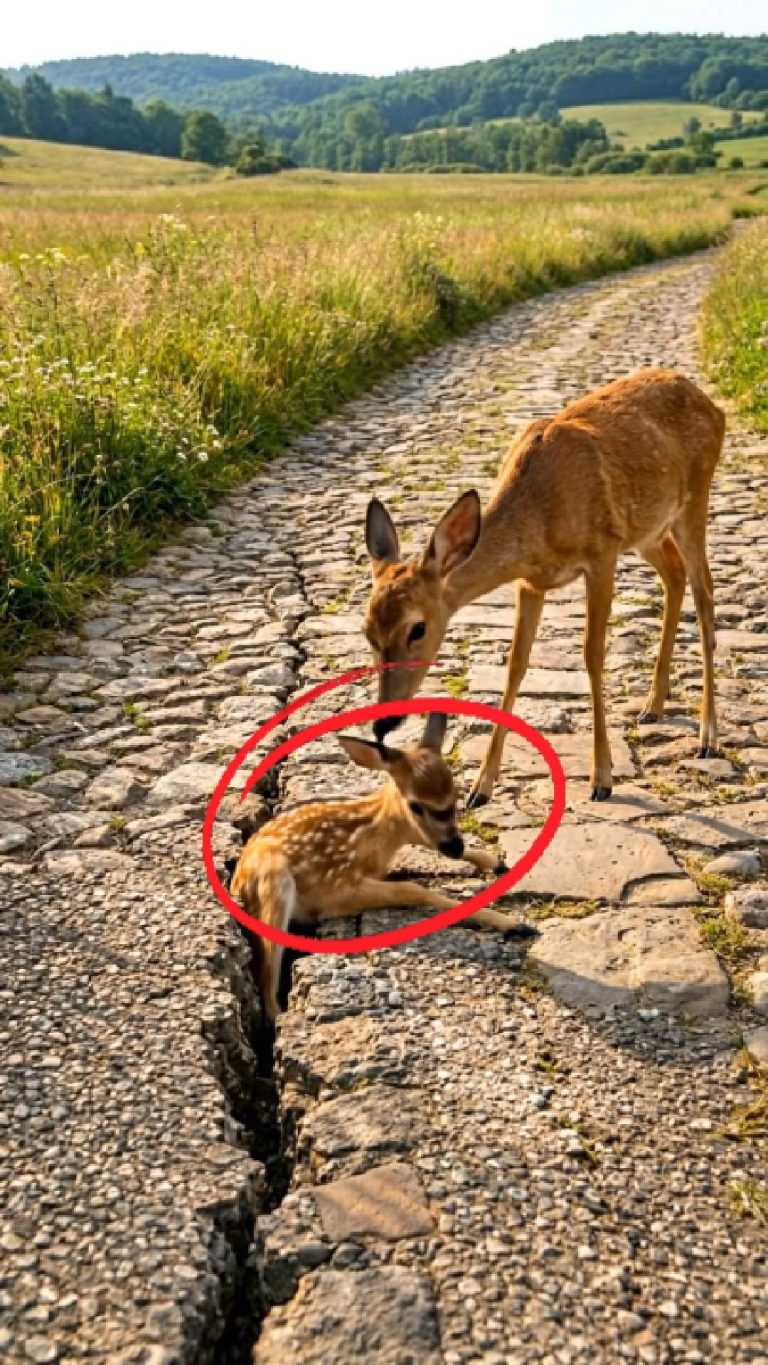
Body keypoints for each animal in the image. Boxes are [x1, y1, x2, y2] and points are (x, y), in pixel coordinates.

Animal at [230, 712, 530, 1020]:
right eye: (416, 805)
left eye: (457, 795)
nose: (454, 846)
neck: (375, 839)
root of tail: (236, 881)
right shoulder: (336, 888)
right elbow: (412, 889)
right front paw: (514, 923)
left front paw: (496, 863)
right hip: (274, 882)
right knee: (266, 982)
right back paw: (282, 1018)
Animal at [363, 368, 725, 808]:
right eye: (368, 632)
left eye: (418, 628)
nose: (385, 718)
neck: (538, 521)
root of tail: (711, 404)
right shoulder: (530, 582)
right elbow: (516, 664)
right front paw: (480, 787)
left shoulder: (601, 553)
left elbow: (592, 656)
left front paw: (602, 778)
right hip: (649, 530)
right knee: (674, 574)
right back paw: (652, 707)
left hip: (693, 500)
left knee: (704, 591)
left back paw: (708, 737)